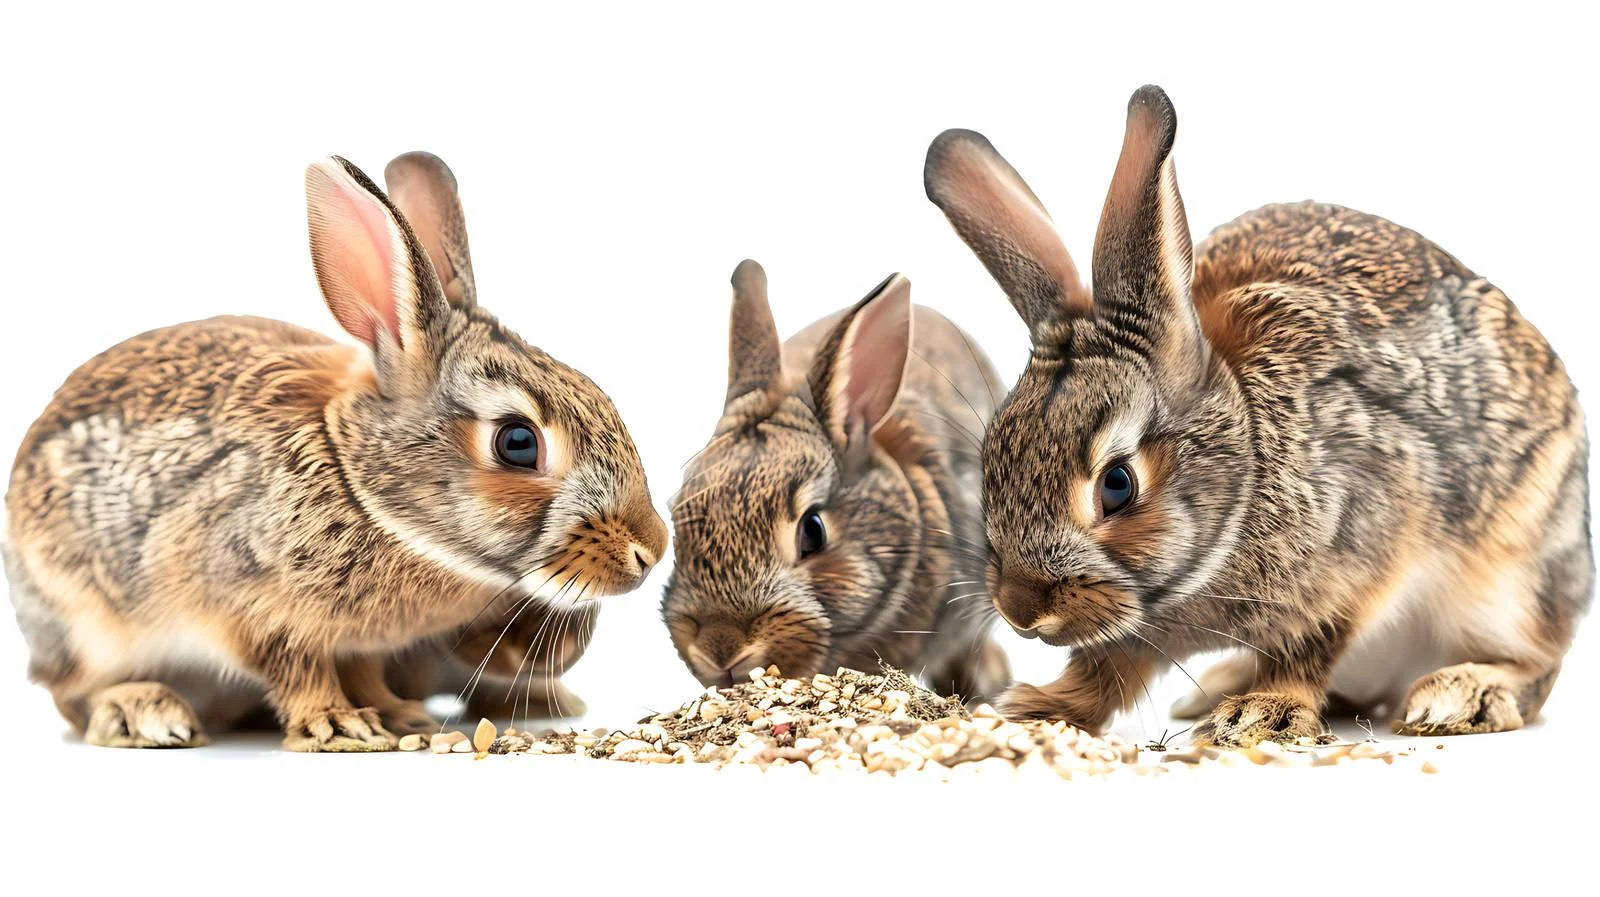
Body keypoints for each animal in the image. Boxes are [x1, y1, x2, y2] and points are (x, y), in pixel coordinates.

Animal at [2, 151, 668, 751]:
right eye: (518, 442)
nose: (651, 550)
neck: (360, 485)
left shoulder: (362, 642)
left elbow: (361, 671)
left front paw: (396, 716)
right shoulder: (252, 606)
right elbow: (297, 668)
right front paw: (339, 725)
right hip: (86, 626)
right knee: (74, 694)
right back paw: (144, 712)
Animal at [922, 85, 1591, 746]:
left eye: (1117, 485)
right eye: (991, 460)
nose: (1020, 608)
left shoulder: (1353, 561)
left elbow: (1309, 648)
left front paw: (1263, 715)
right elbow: (1107, 671)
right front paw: (1030, 710)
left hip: (1512, 585)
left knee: (1536, 665)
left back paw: (1461, 696)